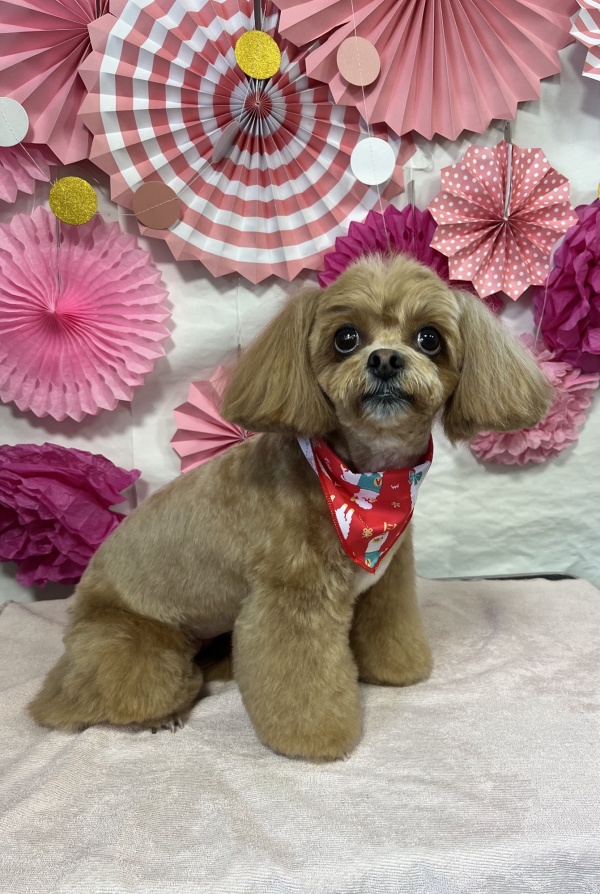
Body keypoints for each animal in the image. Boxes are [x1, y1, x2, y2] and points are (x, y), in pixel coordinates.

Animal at [29, 254, 552, 761]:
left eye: (428, 338)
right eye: (346, 338)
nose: (384, 359)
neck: (369, 486)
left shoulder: (388, 581)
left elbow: (389, 625)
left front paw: (396, 670)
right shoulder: (292, 599)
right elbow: (302, 678)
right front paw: (316, 740)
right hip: (131, 642)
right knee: (87, 697)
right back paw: (153, 712)